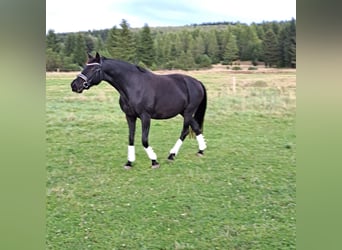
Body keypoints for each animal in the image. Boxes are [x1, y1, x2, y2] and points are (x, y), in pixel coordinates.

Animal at [71, 53, 207, 170]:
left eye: (95, 69)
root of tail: (197, 82)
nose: (74, 85)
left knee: (185, 131)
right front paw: (129, 162)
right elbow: (131, 138)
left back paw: (171, 155)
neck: (133, 85)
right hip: (184, 112)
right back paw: (200, 151)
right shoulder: (130, 116)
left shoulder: (145, 117)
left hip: (188, 112)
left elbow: (144, 140)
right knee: (196, 127)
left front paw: (154, 161)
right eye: (85, 66)